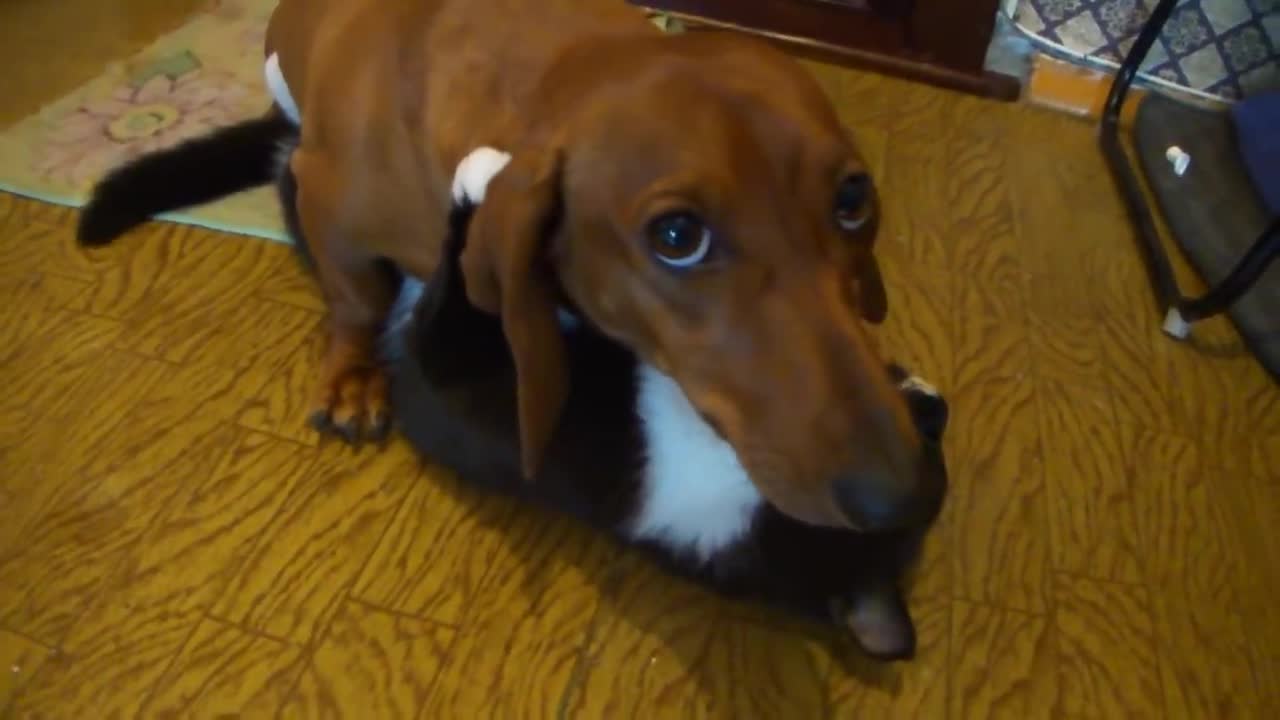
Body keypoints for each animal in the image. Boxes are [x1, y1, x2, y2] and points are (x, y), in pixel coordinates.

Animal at [80, 0, 942, 532]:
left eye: (854, 199)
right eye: (676, 236)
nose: (904, 496)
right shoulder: (326, 194)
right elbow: (358, 298)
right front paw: (353, 375)